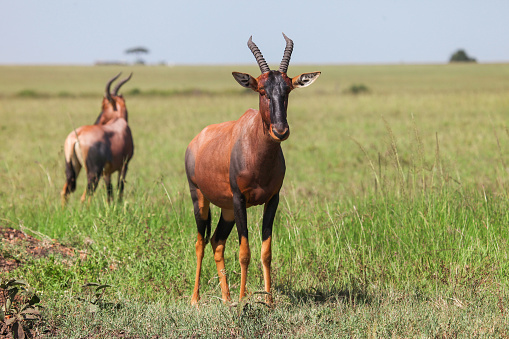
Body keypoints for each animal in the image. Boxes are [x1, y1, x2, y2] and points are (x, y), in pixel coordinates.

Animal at [61, 73, 135, 206]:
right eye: (103, 104)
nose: (98, 122)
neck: (119, 122)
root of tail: (76, 136)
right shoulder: (124, 165)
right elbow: (119, 187)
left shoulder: (107, 172)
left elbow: (109, 191)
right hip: (94, 173)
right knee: (85, 196)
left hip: (73, 167)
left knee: (65, 191)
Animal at [185, 34, 320, 306]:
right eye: (262, 90)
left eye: (287, 89)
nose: (281, 130)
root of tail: (195, 142)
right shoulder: (240, 200)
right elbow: (244, 251)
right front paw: (244, 301)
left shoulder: (272, 199)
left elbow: (266, 251)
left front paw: (267, 301)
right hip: (201, 199)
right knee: (200, 242)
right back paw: (195, 299)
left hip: (226, 209)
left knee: (217, 241)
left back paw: (226, 298)